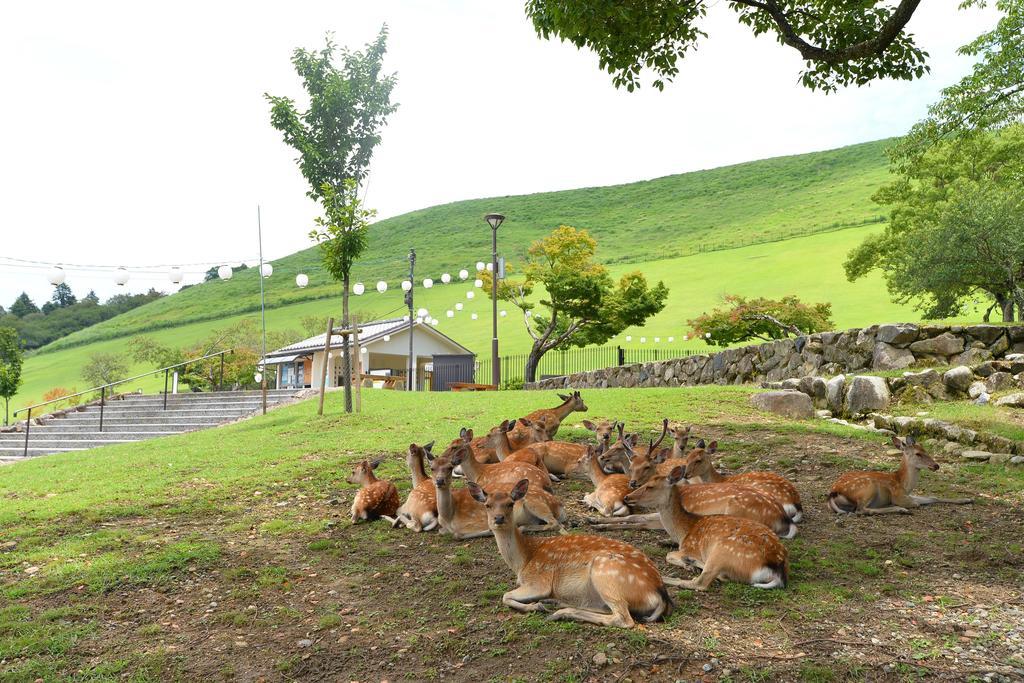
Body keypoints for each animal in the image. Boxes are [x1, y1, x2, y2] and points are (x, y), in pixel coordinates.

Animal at [468, 479, 675, 626]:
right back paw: (557, 604)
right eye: (487, 505)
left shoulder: (539, 582)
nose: (498, 518)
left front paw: (536, 606)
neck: (523, 561)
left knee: (623, 618)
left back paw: (559, 612)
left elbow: (505, 596)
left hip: (606, 573)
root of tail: (660, 594)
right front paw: (539, 605)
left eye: (511, 503)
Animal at [626, 466, 786, 589]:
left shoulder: (690, 547)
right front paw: (688, 563)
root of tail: (777, 569)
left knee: (703, 582)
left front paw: (687, 562)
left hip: (722, 551)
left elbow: (669, 555)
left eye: (650, 486)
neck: (683, 532)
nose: (627, 497)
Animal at [823, 436, 974, 516]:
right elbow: (916, 503)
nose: (936, 465)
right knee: (861, 509)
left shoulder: (907, 494)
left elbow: (933, 497)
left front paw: (967, 499)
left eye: (926, 450)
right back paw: (901, 509)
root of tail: (834, 492)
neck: (904, 484)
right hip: (868, 488)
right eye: (918, 453)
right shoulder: (900, 496)